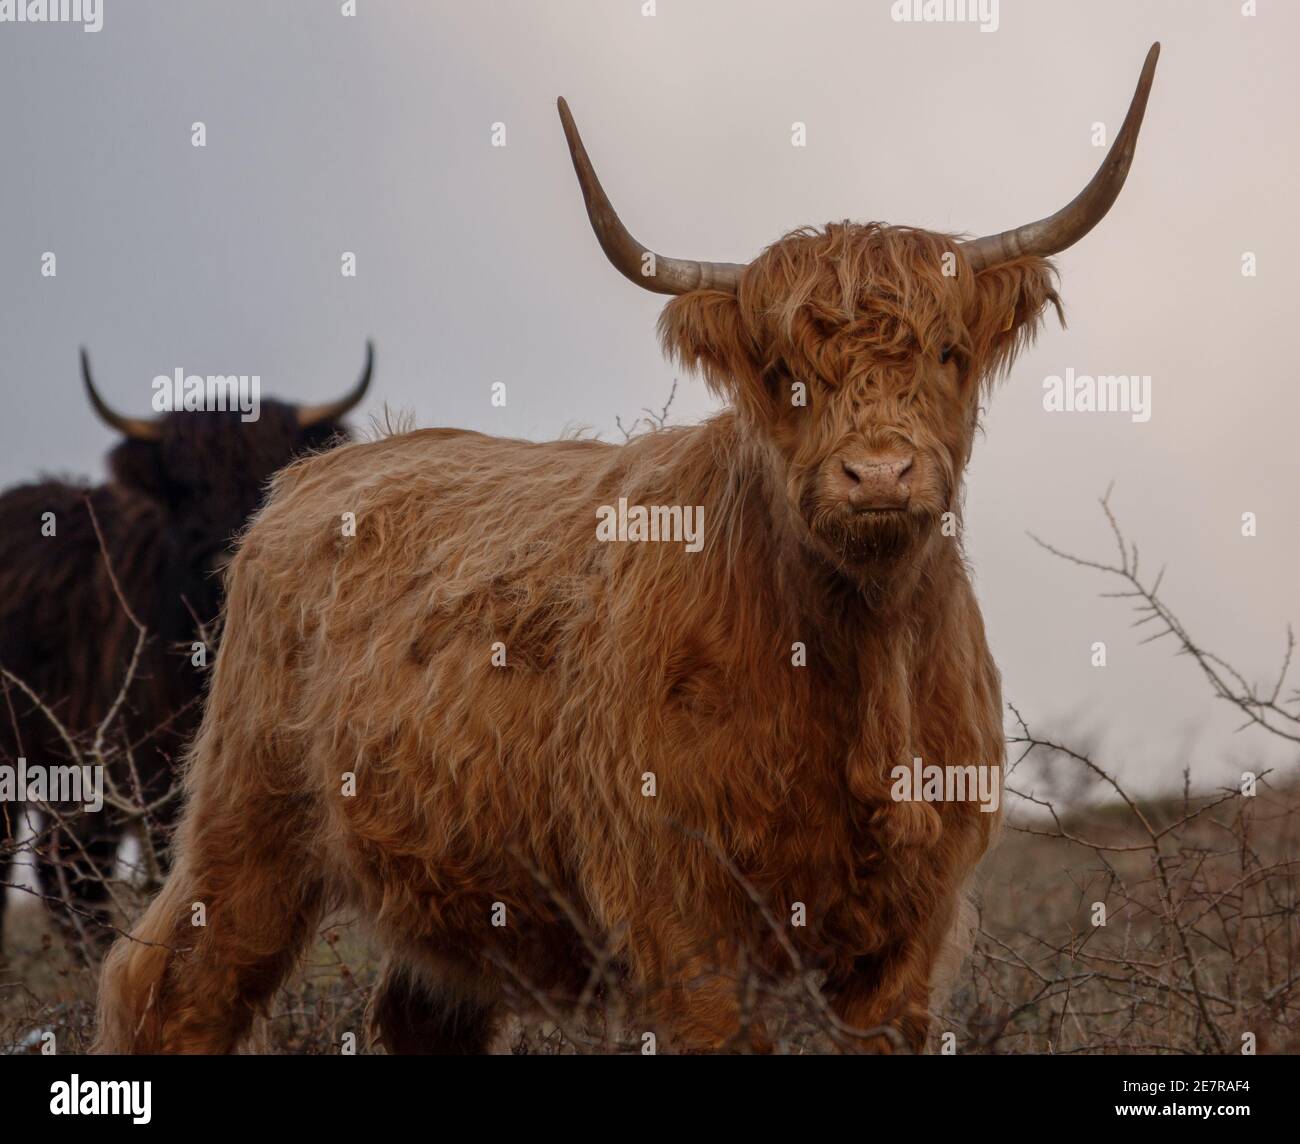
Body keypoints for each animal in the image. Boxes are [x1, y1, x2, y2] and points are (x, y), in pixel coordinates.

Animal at [96, 46, 1164, 1055]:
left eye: (948, 354)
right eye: (784, 372)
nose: (878, 474)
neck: (857, 662)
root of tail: (311, 477)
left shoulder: (910, 935)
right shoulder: (684, 917)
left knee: (418, 1017)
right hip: (246, 821)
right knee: (171, 988)